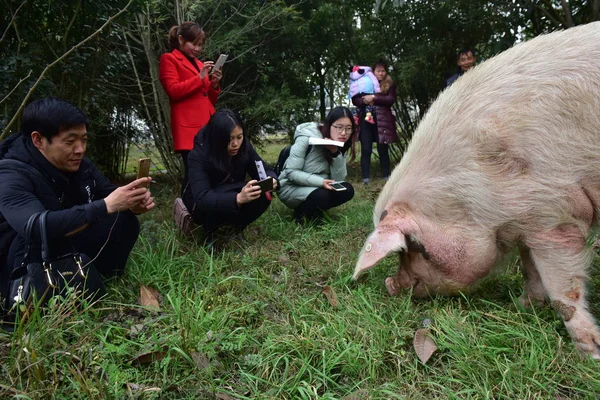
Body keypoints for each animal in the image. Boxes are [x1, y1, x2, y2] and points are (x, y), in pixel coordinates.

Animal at [352, 22, 600, 356]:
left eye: (415, 245)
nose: (391, 285)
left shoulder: (555, 213)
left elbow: (563, 288)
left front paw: (589, 353)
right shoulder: (527, 223)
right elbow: (530, 268)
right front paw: (522, 306)